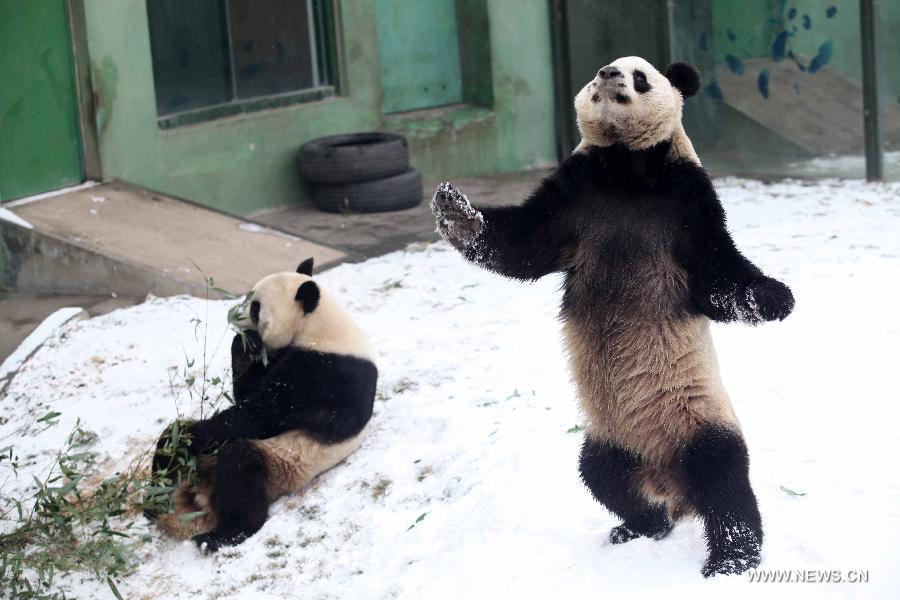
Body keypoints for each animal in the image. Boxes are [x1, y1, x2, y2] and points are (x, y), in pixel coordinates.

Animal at [149, 256, 374, 548]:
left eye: (256, 307)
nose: (236, 316)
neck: (318, 327)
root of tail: (201, 493)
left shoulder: (326, 373)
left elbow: (261, 415)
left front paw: (195, 435)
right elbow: (247, 394)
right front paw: (246, 344)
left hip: (282, 466)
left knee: (241, 467)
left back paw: (222, 535)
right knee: (168, 441)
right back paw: (157, 496)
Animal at [432, 58, 792, 580]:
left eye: (640, 77)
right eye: (594, 75)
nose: (606, 74)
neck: (628, 167)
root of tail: (667, 481)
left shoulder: (687, 198)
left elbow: (716, 274)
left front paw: (777, 297)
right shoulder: (575, 193)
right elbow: (521, 243)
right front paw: (454, 211)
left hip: (698, 415)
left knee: (723, 480)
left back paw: (730, 560)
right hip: (612, 439)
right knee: (603, 478)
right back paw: (641, 527)